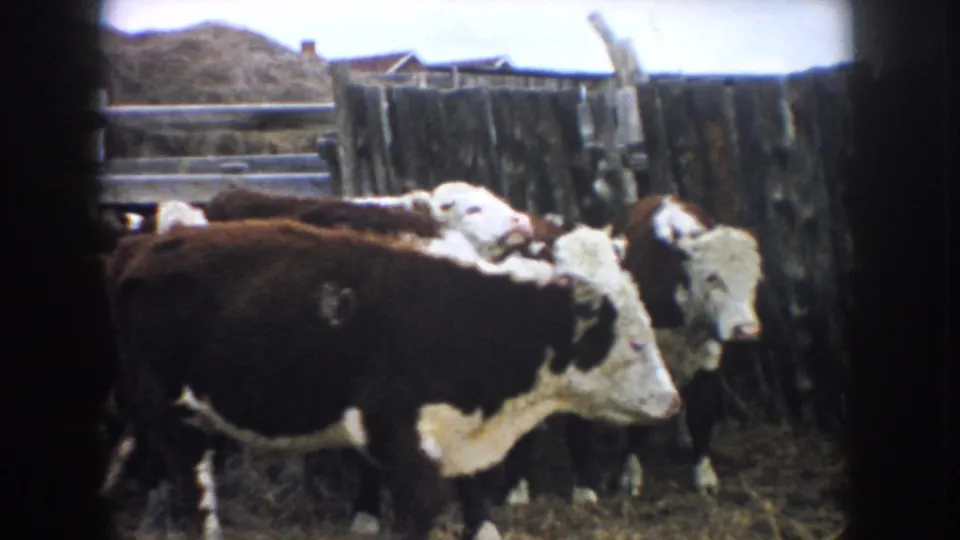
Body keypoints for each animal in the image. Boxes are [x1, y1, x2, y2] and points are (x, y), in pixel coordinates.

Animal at [108, 219, 681, 540]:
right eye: (635, 342)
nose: (673, 402)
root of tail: (145, 246)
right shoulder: (398, 438)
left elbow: (479, 510)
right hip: (171, 413)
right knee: (196, 487)